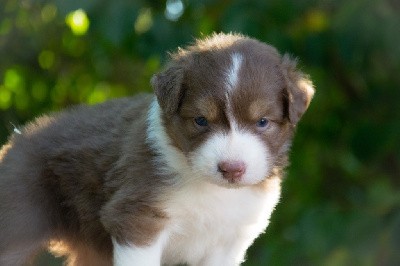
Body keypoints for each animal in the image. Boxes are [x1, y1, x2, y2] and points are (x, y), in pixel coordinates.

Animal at [0, 33, 314, 266]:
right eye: (201, 120)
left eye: (262, 122)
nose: (232, 169)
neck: (209, 189)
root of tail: (17, 140)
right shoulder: (137, 218)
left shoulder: (230, 241)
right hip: (18, 222)